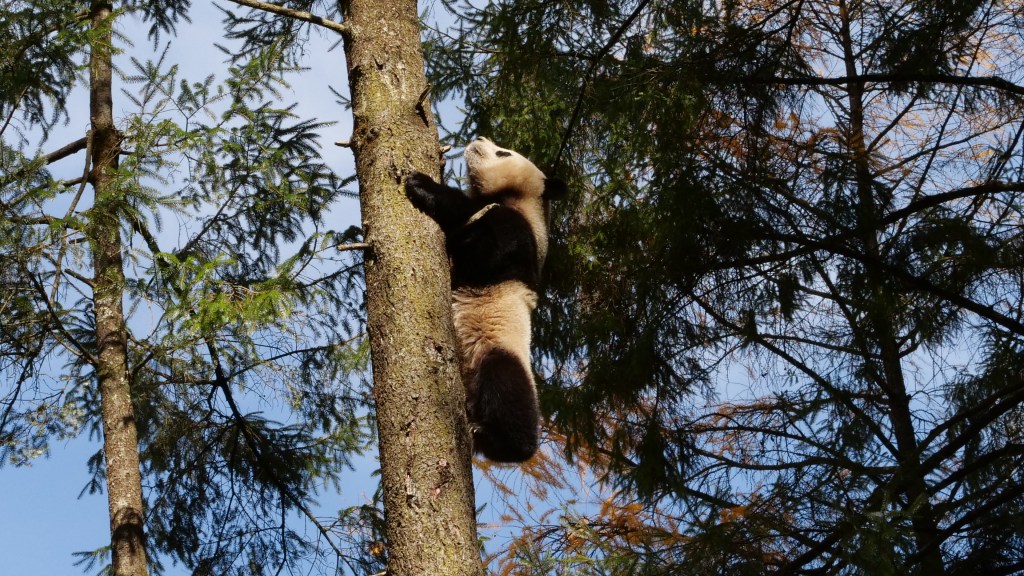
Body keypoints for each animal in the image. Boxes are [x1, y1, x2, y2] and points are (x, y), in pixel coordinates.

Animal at [403, 135, 569, 461]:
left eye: (503, 152)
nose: (479, 138)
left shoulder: (519, 233)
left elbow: (485, 251)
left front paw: (423, 184)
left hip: (500, 348)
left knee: (505, 384)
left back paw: (503, 441)